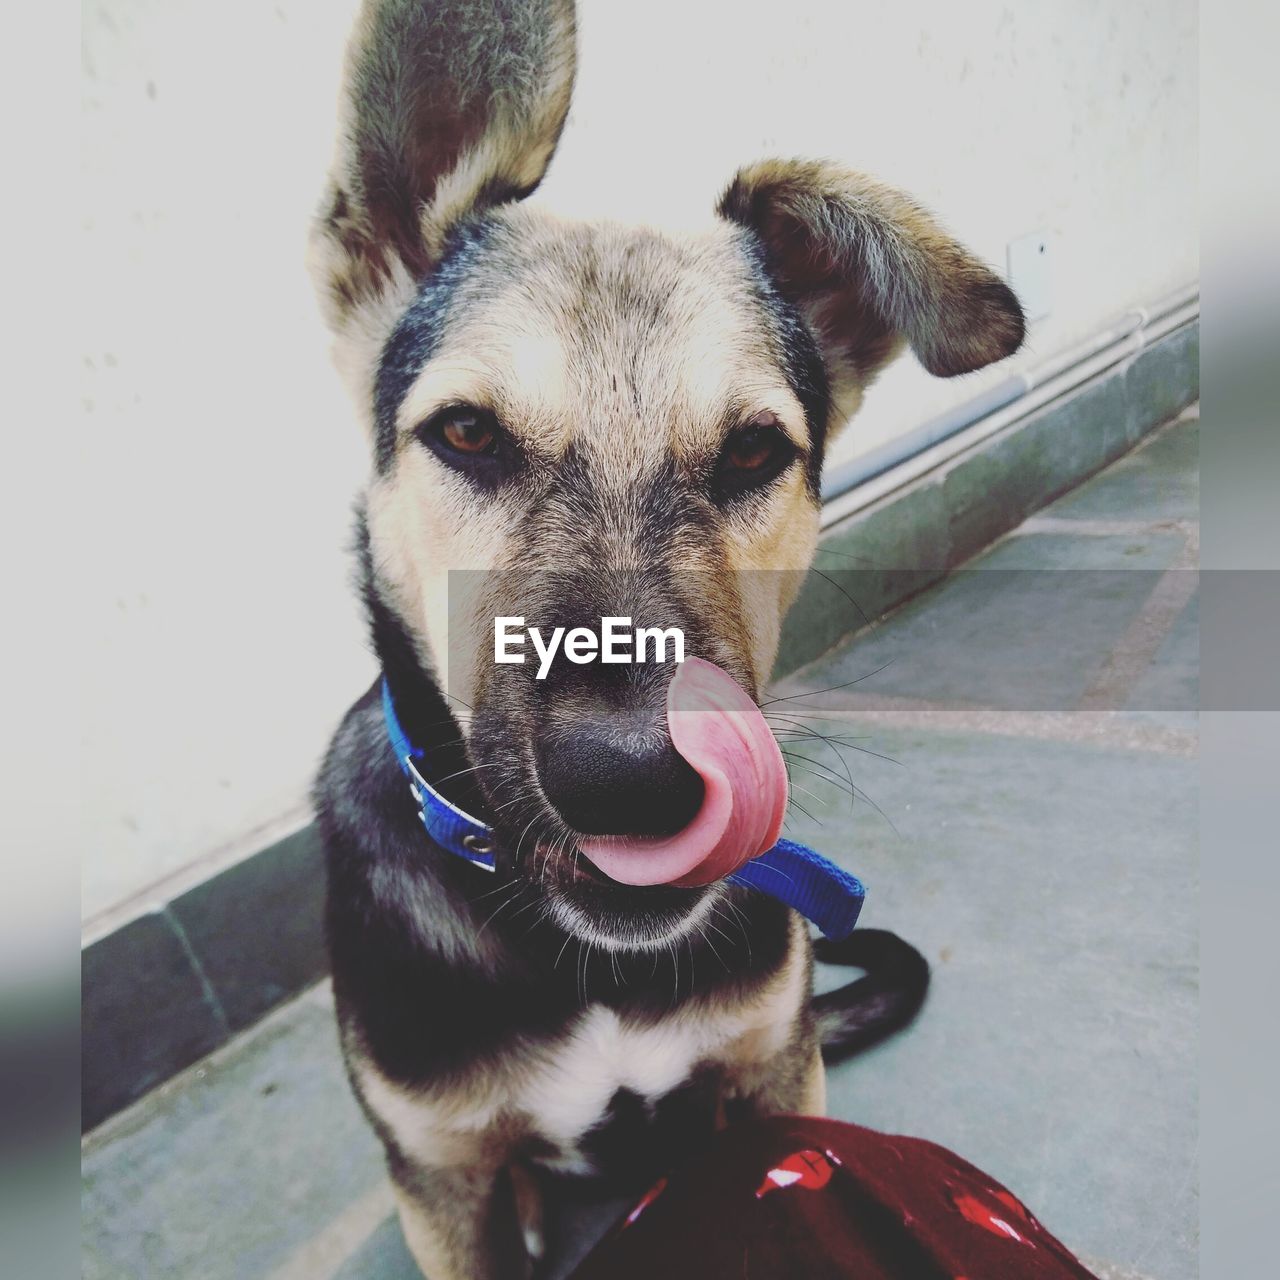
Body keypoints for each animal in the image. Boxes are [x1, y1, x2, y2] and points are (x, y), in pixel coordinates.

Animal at [307, 5, 1018, 1274]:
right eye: (465, 433)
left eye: (753, 451)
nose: (631, 779)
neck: (583, 962)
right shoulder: (439, 1176)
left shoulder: (777, 1069)